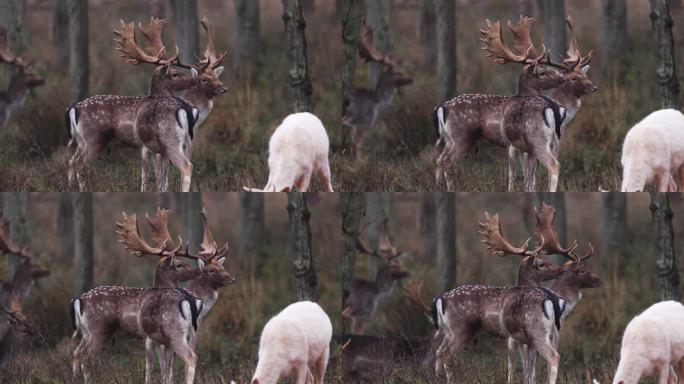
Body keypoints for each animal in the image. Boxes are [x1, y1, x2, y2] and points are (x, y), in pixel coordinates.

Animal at [342, 26, 412, 160]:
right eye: (397, 72)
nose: (411, 78)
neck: (376, 104)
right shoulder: (359, 123)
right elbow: (359, 147)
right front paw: (360, 162)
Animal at [432, 208, 568, 382]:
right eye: (542, 264)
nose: (561, 270)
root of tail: (441, 299)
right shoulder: (510, 337)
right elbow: (516, 364)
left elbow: (529, 367)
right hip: (461, 329)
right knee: (447, 355)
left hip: (449, 332)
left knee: (439, 352)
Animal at [436, 16, 564, 190]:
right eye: (542, 72)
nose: (562, 77)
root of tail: (442, 108)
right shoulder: (510, 145)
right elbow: (515, 173)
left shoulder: (524, 149)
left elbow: (529, 176)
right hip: (462, 138)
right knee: (447, 161)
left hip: (451, 140)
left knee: (440, 160)